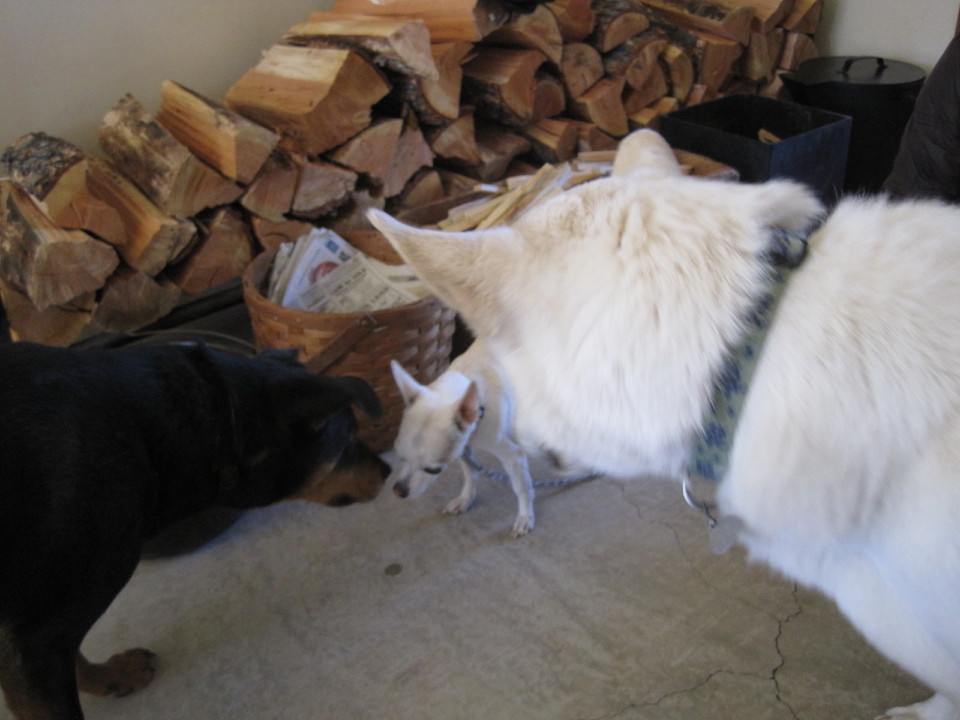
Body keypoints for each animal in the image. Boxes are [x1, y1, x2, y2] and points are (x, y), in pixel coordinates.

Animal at [0, 341, 390, 720]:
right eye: (349, 438)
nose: (387, 470)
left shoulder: (31, 630)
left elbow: (71, 656)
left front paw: (114, 675)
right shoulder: (37, 642)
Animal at [389, 339, 586, 537]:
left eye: (433, 470)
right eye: (401, 458)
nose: (398, 491)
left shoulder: (513, 456)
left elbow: (521, 488)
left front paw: (525, 516)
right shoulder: (464, 449)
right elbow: (470, 475)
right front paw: (466, 499)